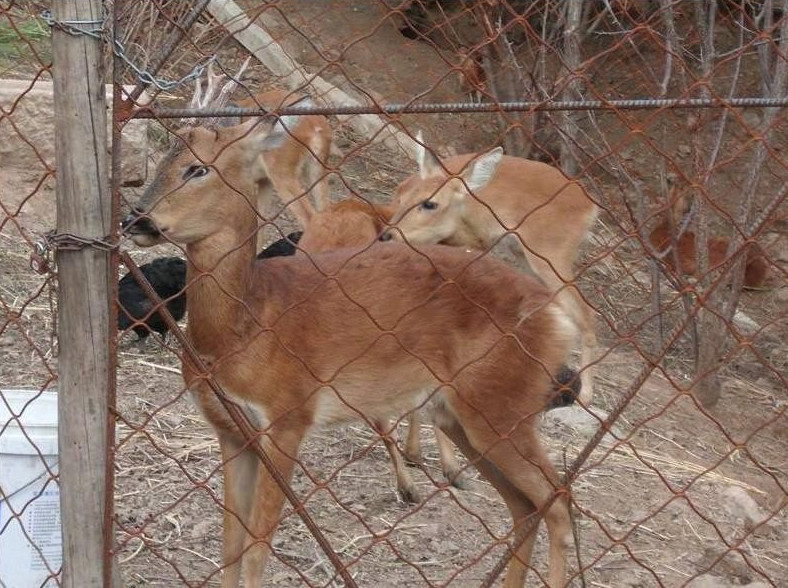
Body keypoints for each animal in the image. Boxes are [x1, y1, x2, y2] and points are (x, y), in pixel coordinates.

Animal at [382, 138, 596, 404]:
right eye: (403, 197)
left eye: (430, 203)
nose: (387, 235)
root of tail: (590, 206)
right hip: (527, 256)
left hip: (550, 256)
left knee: (586, 313)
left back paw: (585, 394)